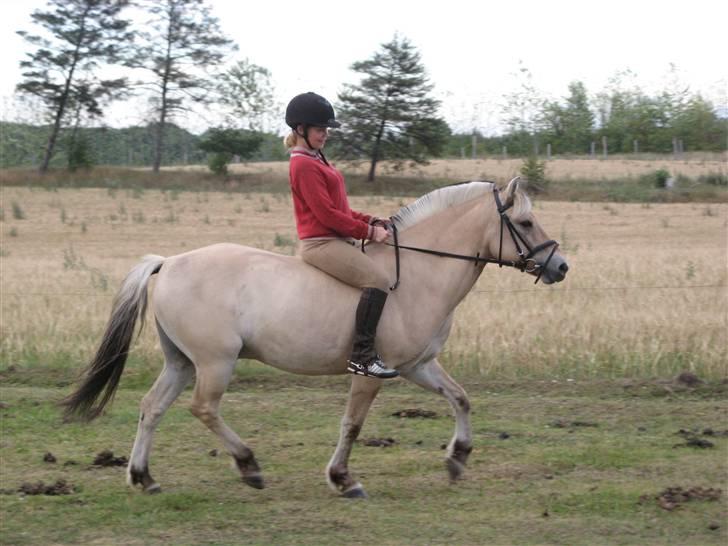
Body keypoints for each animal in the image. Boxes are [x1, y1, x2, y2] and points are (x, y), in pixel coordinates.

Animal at [62, 177, 568, 498]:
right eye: (525, 224)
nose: (560, 267)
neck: (419, 273)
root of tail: (168, 262)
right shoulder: (373, 371)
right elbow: (352, 424)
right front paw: (343, 479)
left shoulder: (417, 366)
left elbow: (461, 398)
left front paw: (458, 458)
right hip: (214, 362)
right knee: (203, 408)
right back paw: (249, 466)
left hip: (181, 361)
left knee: (152, 407)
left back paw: (144, 478)